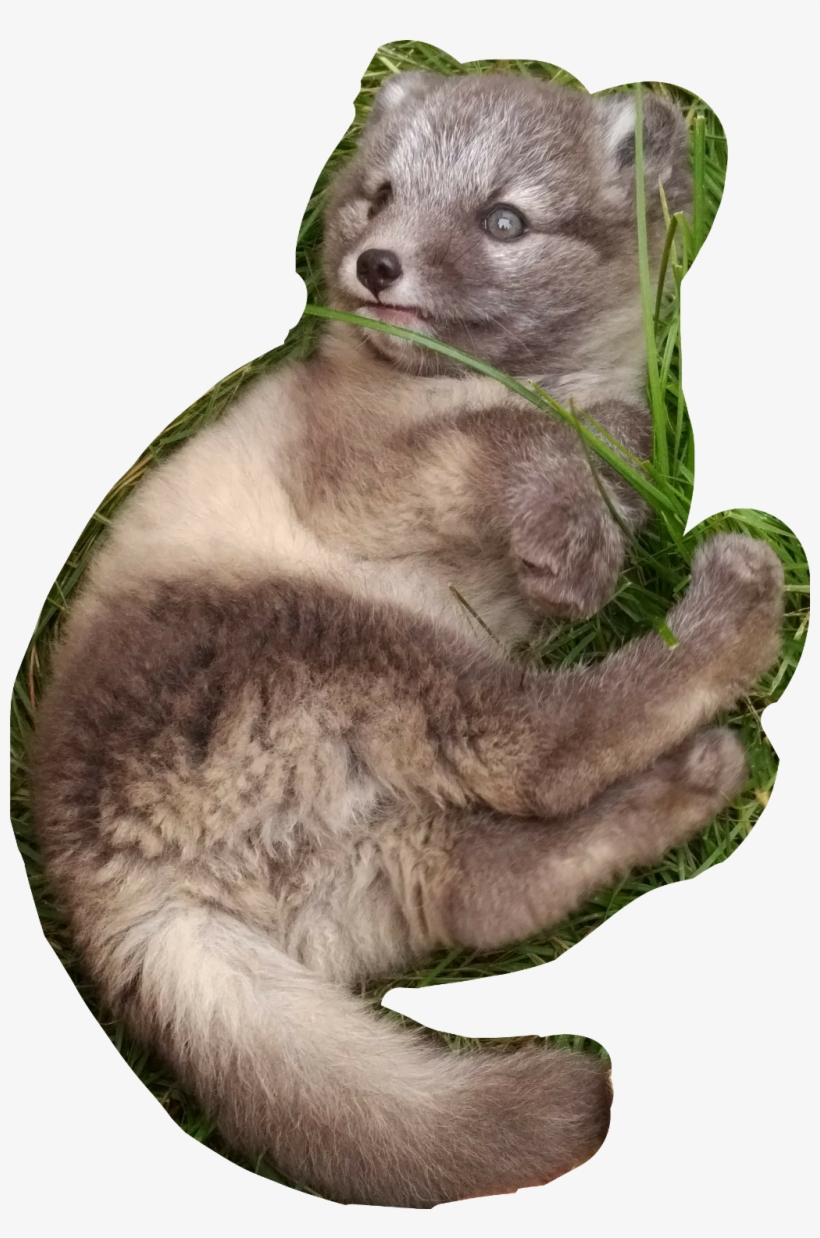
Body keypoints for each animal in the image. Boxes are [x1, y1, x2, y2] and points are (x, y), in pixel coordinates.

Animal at [31, 70, 784, 1207]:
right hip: (359, 648)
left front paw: (589, 517)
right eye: (379, 193)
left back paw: (692, 777)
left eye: (504, 219)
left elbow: (604, 437)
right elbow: (510, 436)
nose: (374, 264)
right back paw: (737, 602)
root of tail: (115, 891)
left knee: (492, 887)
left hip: (378, 860)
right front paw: (570, 533)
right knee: (540, 749)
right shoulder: (355, 476)